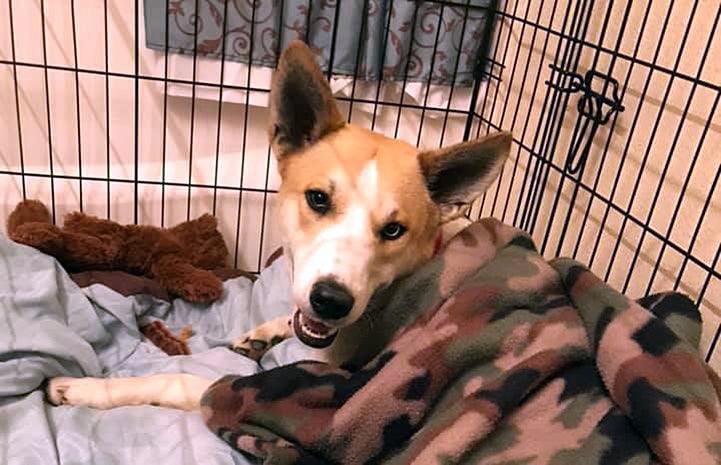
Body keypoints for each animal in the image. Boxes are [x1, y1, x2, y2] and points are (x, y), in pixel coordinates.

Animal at [45, 40, 512, 410]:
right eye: (318, 198)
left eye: (394, 230)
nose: (332, 301)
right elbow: (291, 317)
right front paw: (264, 332)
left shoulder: (281, 386)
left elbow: (175, 381)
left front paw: (82, 389)